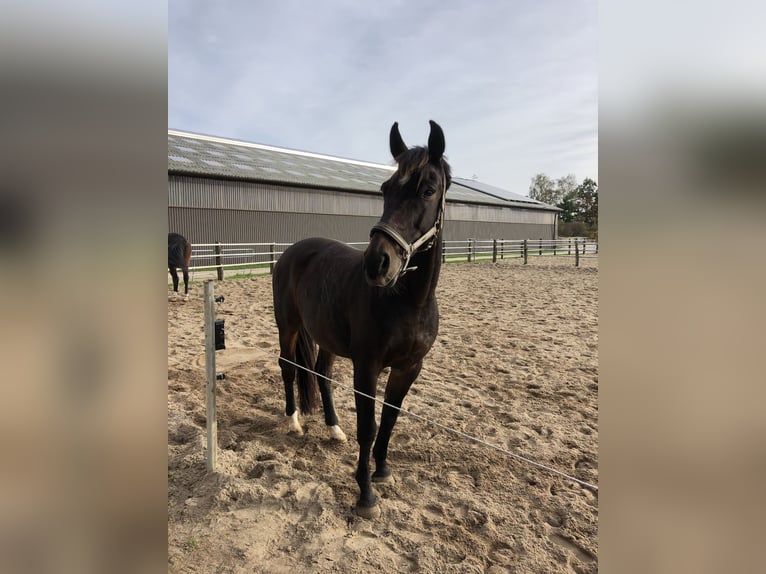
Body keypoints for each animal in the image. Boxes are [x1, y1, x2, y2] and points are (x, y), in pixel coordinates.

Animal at [272, 119, 452, 520]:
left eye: (428, 189)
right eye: (385, 190)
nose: (377, 263)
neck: (407, 302)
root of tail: (292, 251)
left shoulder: (408, 367)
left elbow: (390, 419)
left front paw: (382, 470)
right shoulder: (366, 366)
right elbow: (368, 427)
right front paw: (366, 494)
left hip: (325, 338)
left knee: (321, 373)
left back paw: (334, 429)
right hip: (287, 326)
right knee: (289, 367)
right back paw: (293, 421)